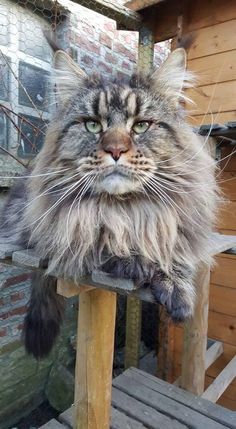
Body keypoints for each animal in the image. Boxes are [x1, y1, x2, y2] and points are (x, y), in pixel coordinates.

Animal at [0, 48, 218, 358]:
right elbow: (97, 237)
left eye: (141, 125)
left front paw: (175, 284)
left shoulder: (179, 223)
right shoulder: (52, 228)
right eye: (93, 125)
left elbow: (172, 248)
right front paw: (131, 260)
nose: (115, 150)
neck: (125, 208)